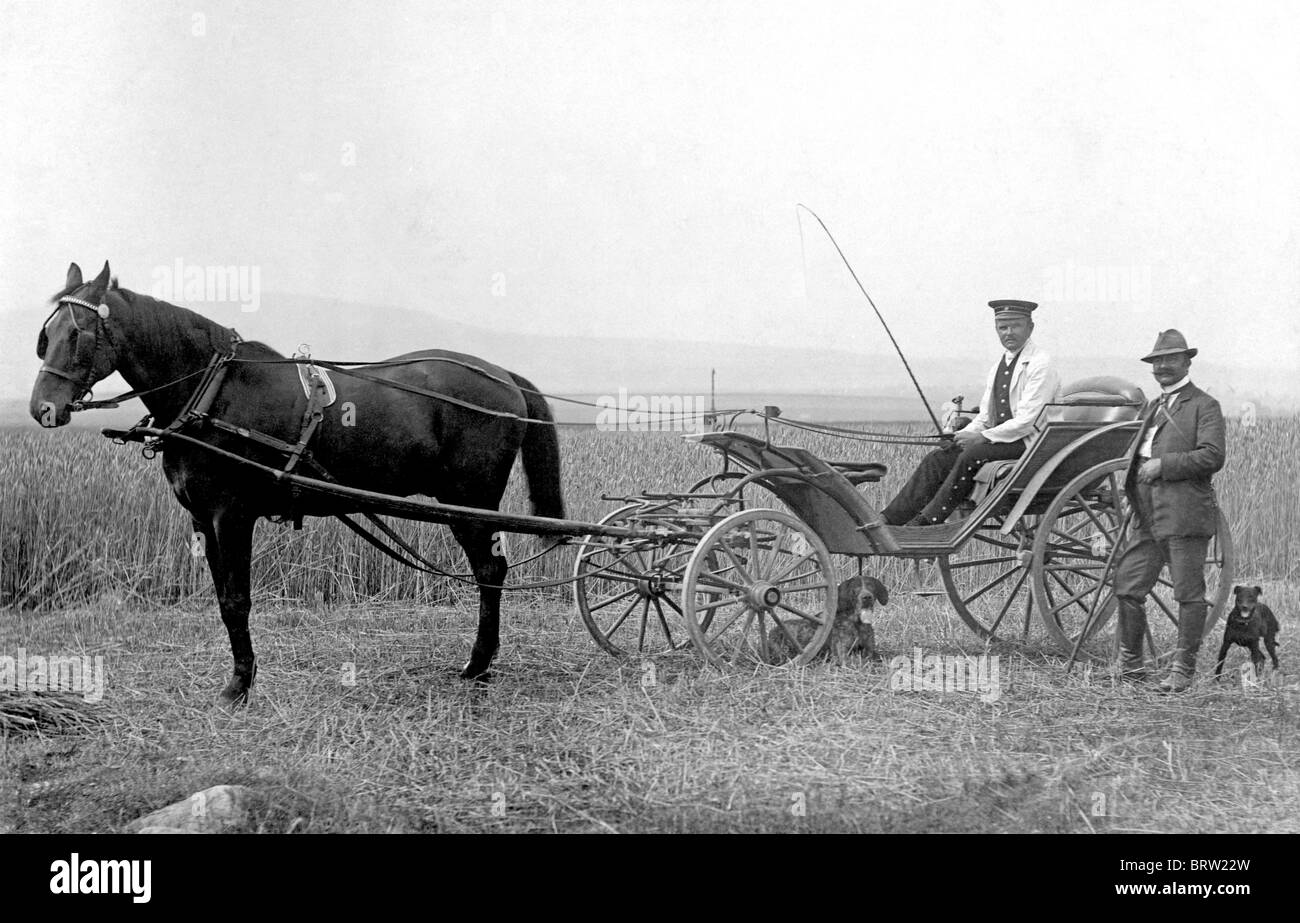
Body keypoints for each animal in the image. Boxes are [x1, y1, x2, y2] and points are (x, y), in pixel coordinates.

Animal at [30, 262, 564, 707]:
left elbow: (236, 601)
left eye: (77, 334)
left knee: (490, 571)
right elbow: (223, 601)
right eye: (46, 334)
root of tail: (503, 376)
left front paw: (239, 685)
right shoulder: (203, 518)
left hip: (471, 502)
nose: (42, 408)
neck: (215, 394)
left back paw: (478, 664)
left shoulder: (231, 515)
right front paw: (241, 677)